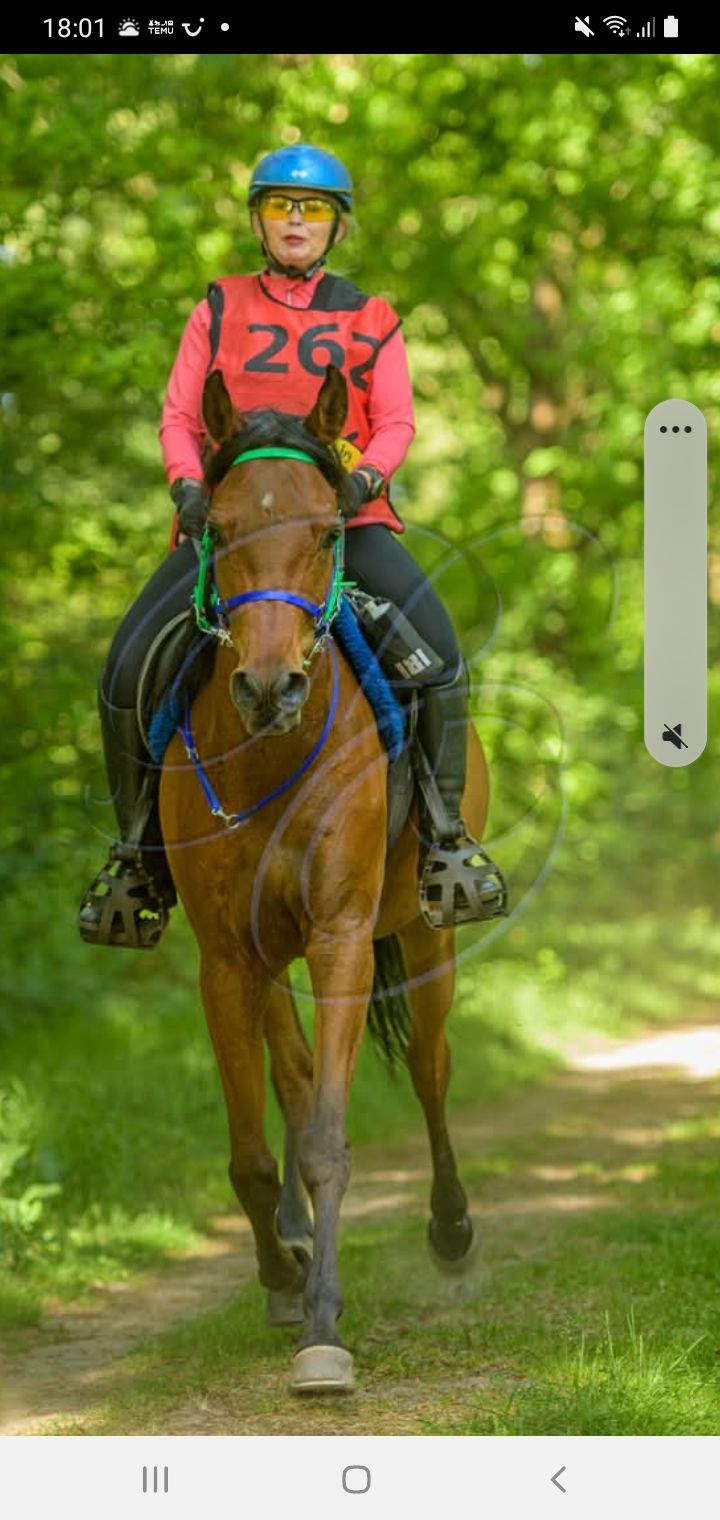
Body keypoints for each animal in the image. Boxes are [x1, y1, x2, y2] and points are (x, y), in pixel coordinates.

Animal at [159, 363, 492, 1394]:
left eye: (325, 532)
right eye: (221, 529)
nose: (270, 689)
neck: (271, 756)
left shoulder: (343, 939)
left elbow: (326, 1143)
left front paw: (323, 1332)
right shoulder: (225, 960)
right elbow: (254, 1151)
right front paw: (282, 1279)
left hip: (422, 937)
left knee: (430, 1067)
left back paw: (452, 1232)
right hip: (268, 959)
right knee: (295, 1069)